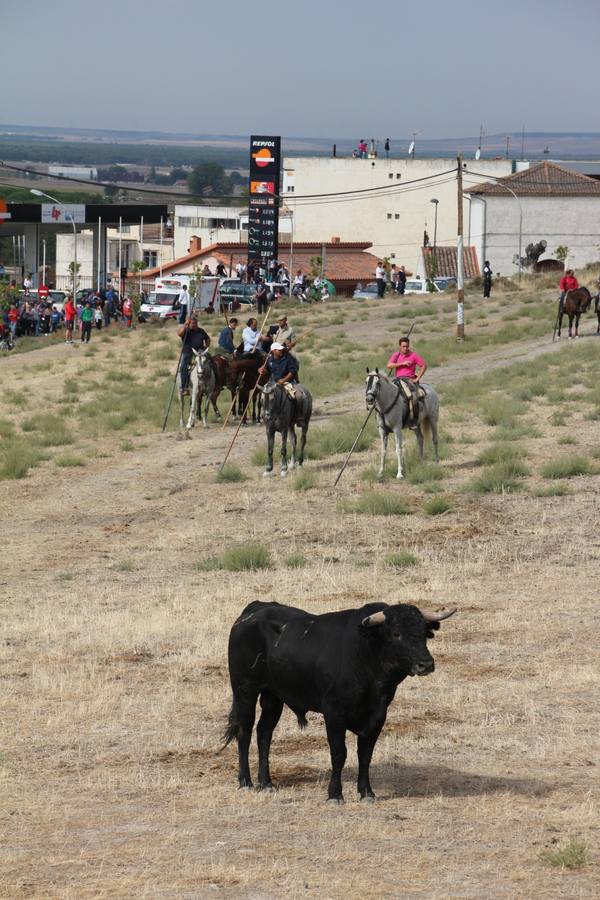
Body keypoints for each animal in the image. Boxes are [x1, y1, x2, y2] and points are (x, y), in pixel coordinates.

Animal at [224, 596, 454, 800]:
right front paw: (335, 794)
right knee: (244, 731)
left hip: (273, 696)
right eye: (396, 633)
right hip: (245, 690)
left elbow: (365, 753)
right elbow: (339, 753)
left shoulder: (378, 715)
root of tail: (253, 610)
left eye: (424, 633)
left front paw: (367, 793)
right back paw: (246, 782)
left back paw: (267, 783)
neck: (365, 654)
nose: (426, 664)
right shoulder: (334, 713)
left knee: (264, 733)